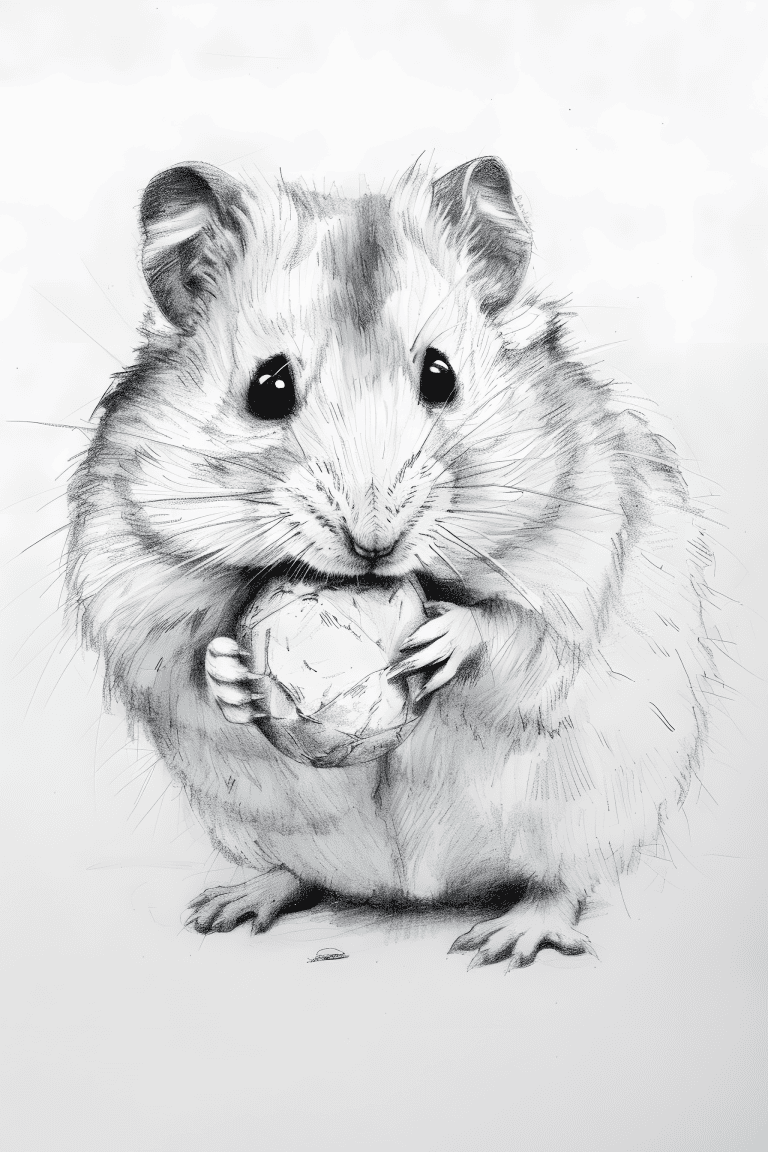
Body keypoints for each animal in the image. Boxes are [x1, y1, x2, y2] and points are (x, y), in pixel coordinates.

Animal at [66, 156, 715, 968]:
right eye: (267, 387)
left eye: (441, 375)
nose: (373, 545)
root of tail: (411, 887)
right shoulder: (131, 571)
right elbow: (183, 657)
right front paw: (234, 674)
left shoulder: (582, 553)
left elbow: (515, 632)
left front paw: (438, 640)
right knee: (298, 872)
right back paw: (229, 906)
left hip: (593, 816)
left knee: (561, 884)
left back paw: (503, 941)